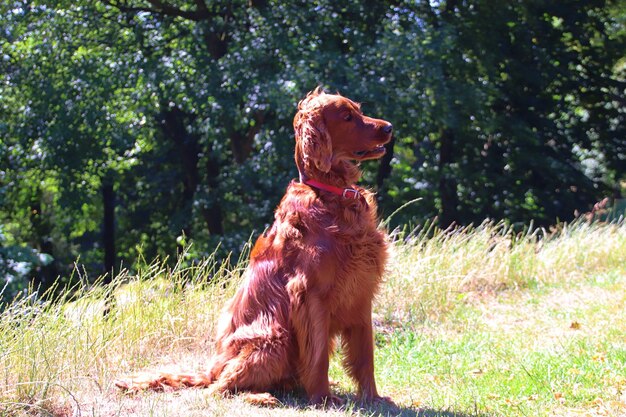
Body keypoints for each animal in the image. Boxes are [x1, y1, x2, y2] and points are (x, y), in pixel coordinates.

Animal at [114, 88, 392, 406]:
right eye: (346, 117)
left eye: (358, 110)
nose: (388, 128)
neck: (330, 195)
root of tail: (211, 369)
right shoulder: (310, 295)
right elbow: (319, 355)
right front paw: (323, 398)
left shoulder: (361, 290)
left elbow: (365, 354)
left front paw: (374, 398)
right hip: (274, 338)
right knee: (219, 389)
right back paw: (261, 396)